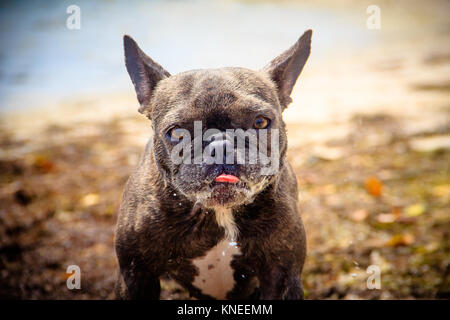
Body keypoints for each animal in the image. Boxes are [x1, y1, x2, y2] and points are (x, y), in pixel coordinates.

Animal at [115, 30, 312, 300]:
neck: (219, 213)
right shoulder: (136, 275)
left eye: (260, 122)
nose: (221, 145)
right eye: (176, 132)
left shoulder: (282, 274)